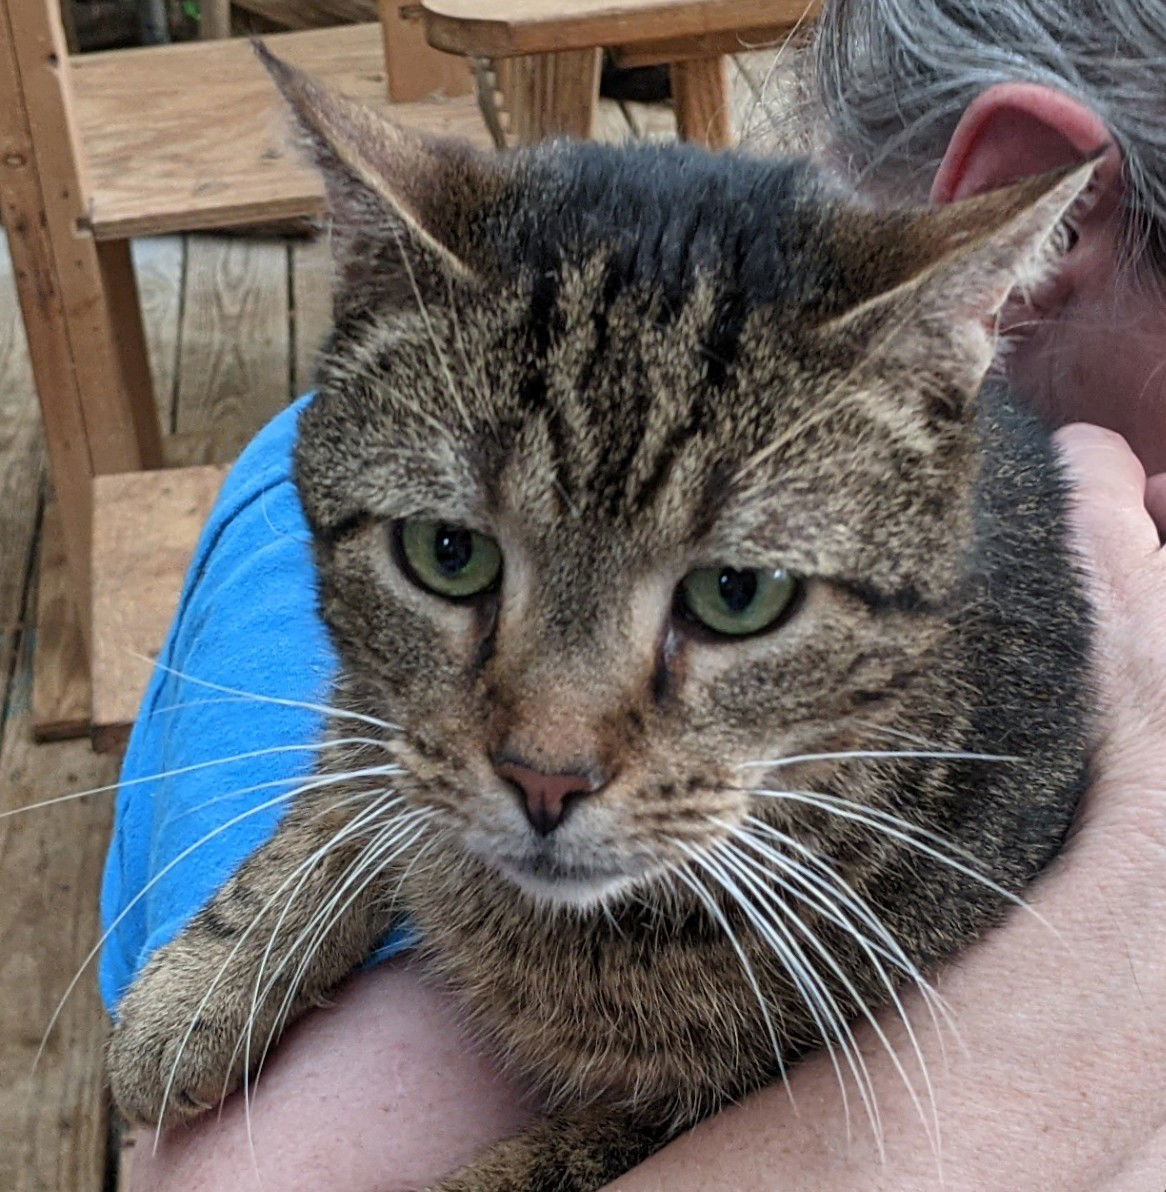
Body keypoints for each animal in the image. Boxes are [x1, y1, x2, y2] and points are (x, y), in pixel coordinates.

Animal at [104, 48, 1096, 1192]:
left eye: (738, 593)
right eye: (448, 553)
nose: (546, 778)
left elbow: (548, 1167)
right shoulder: (380, 707)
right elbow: (354, 775)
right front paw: (202, 982)